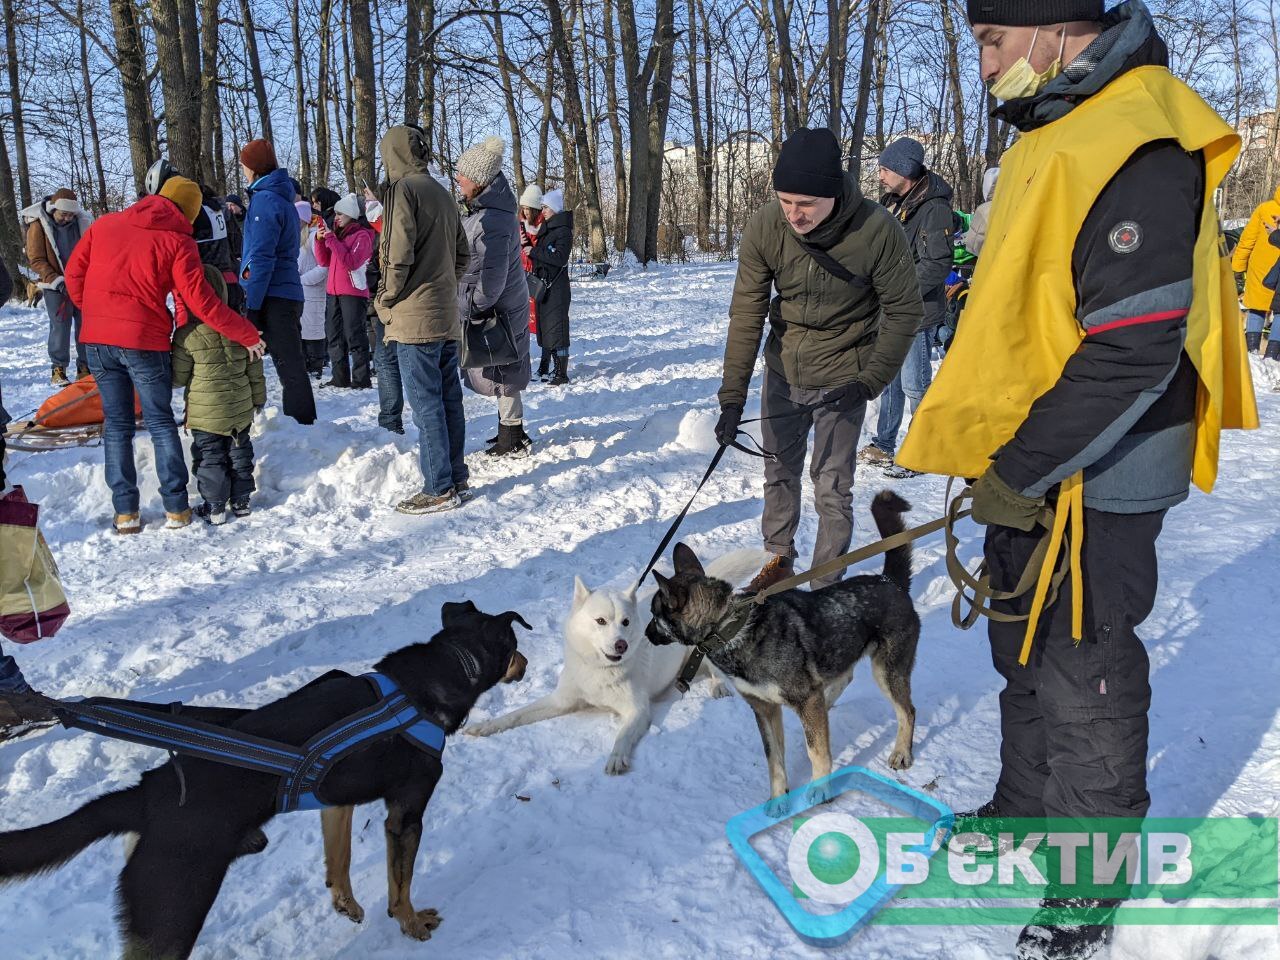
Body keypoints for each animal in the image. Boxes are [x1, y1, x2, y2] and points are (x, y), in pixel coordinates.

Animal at [0, 601, 524, 960]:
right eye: (516, 648)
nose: (526, 664)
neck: (443, 668)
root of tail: (147, 795)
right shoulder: (405, 815)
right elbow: (400, 885)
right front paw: (412, 924)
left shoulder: (335, 799)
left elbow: (339, 859)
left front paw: (346, 903)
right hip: (171, 912)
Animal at [471, 547, 768, 773]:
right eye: (600, 621)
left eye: (625, 622)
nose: (621, 645)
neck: (600, 669)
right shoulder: (560, 701)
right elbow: (515, 715)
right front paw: (485, 726)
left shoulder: (637, 710)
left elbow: (623, 735)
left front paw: (616, 757)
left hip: (702, 649)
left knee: (710, 665)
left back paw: (717, 685)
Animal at [650, 491, 921, 814]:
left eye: (654, 615)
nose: (645, 634)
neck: (732, 627)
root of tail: (889, 581)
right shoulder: (765, 710)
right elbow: (774, 760)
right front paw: (779, 799)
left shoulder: (803, 699)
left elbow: (818, 753)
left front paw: (820, 790)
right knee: (843, 681)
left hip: (887, 671)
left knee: (907, 711)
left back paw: (901, 752)